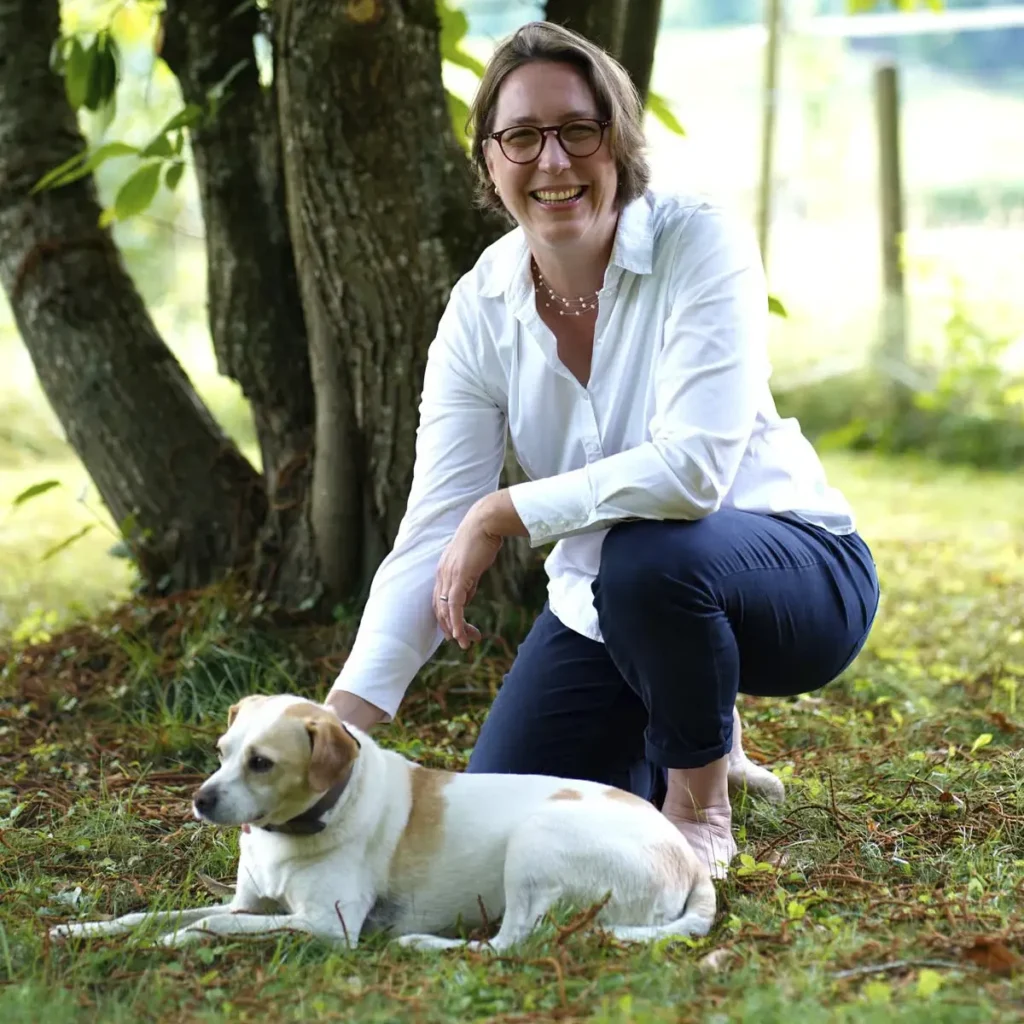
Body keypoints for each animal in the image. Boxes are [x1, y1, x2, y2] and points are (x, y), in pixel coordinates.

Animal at [49, 692, 720, 946]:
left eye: (262, 763)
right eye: (221, 750)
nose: (200, 800)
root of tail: (687, 861)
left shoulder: (326, 926)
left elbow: (213, 927)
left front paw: (174, 941)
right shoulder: (249, 904)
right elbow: (149, 914)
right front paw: (81, 929)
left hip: (537, 843)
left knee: (509, 945)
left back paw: (426, 943)